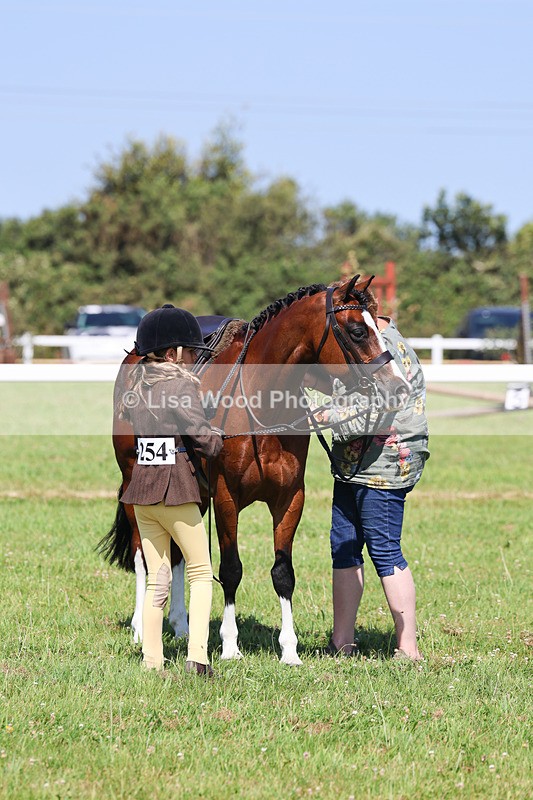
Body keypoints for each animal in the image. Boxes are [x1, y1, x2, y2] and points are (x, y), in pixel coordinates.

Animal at [99, 275, 408, 665]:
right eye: (356, 331)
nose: (399, 387)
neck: (261, 405)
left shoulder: (290, 499)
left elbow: (283, 572)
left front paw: (289, 650)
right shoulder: (226, 498)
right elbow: (231, 569)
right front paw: (230, 646)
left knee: (179, 556)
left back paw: (181, 624)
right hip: (135, 485)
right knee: (144, 557)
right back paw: (141, 628)